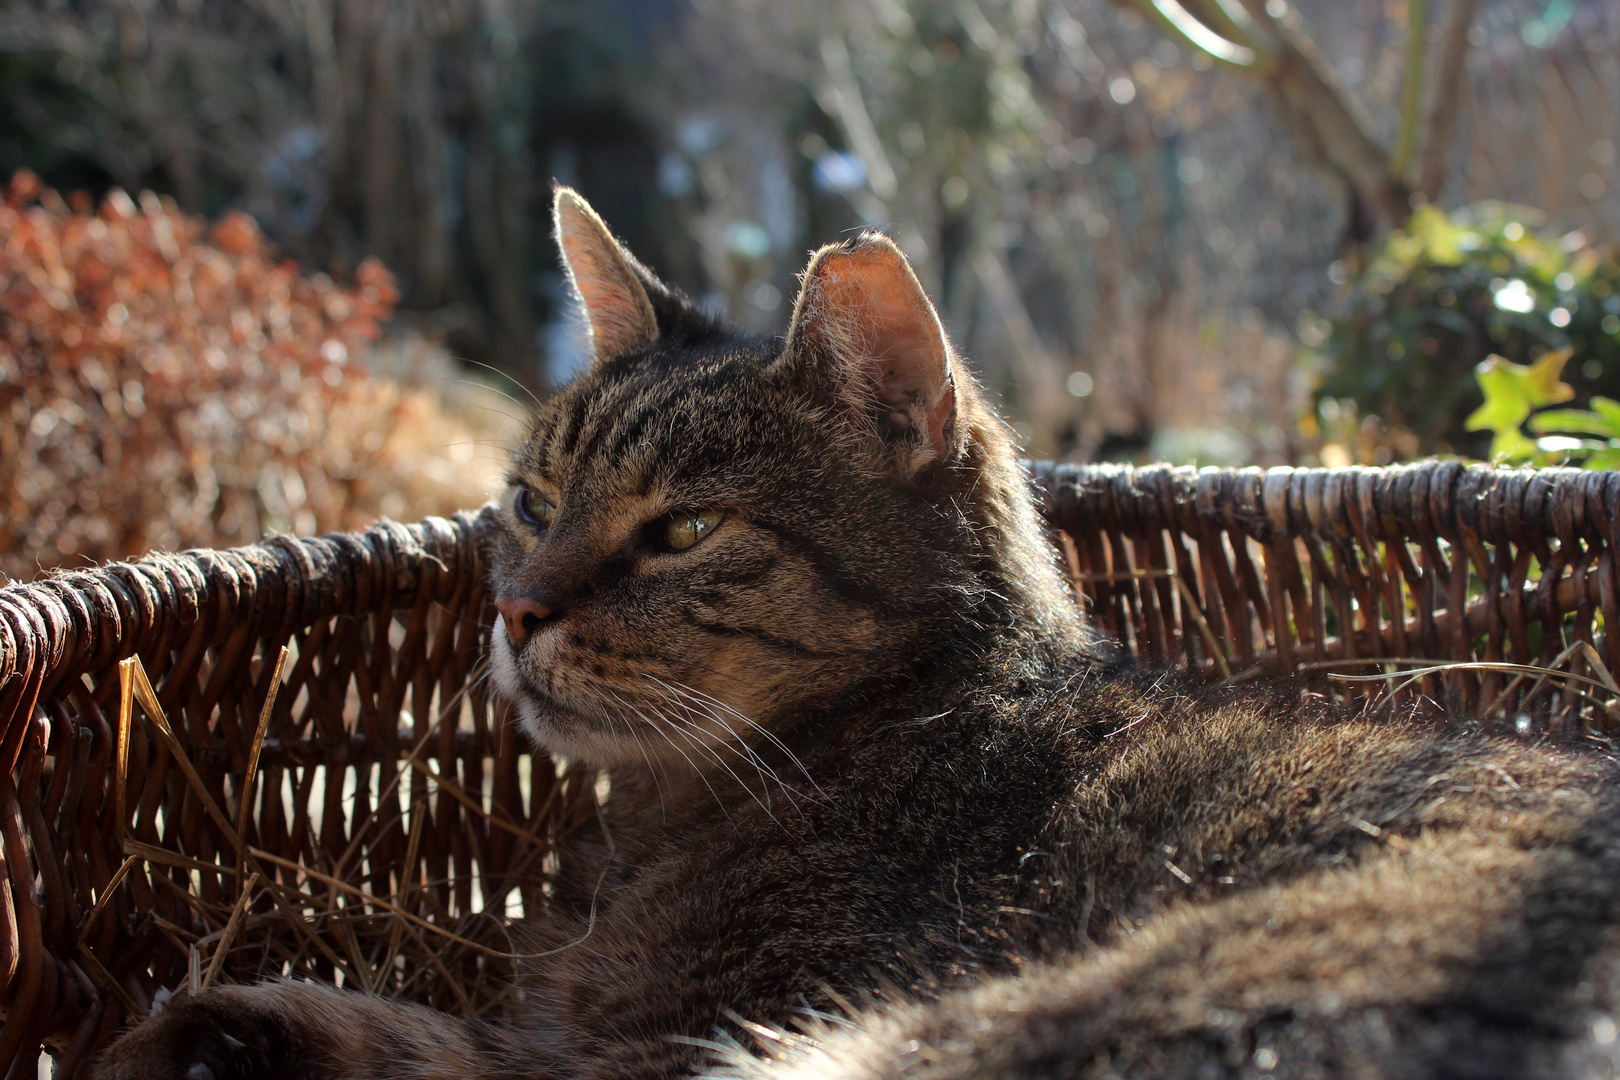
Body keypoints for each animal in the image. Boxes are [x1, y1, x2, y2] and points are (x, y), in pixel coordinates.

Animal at [98, 190, 1620, 1075]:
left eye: (684, 530)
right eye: (530, 500)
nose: (517, 610)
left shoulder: (638, 1054)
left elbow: (431, 1044)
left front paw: (202, 1029)